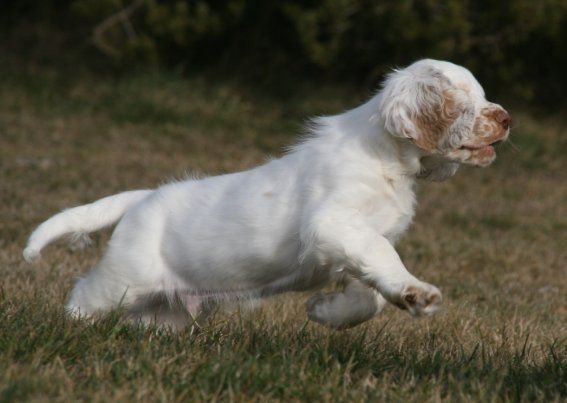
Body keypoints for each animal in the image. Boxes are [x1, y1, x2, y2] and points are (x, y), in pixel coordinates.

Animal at [24, 59, 510, 330]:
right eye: (463, 100)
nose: (506, 119)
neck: (388, 159)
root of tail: (143, 197)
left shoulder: (350, 247)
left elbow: (370, 293)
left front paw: (326, 312)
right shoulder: (335, 225)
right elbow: (384, 258)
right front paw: (418, 294)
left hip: (168, 309)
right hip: (125, 279)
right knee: (84, 294)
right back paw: (67, 330)